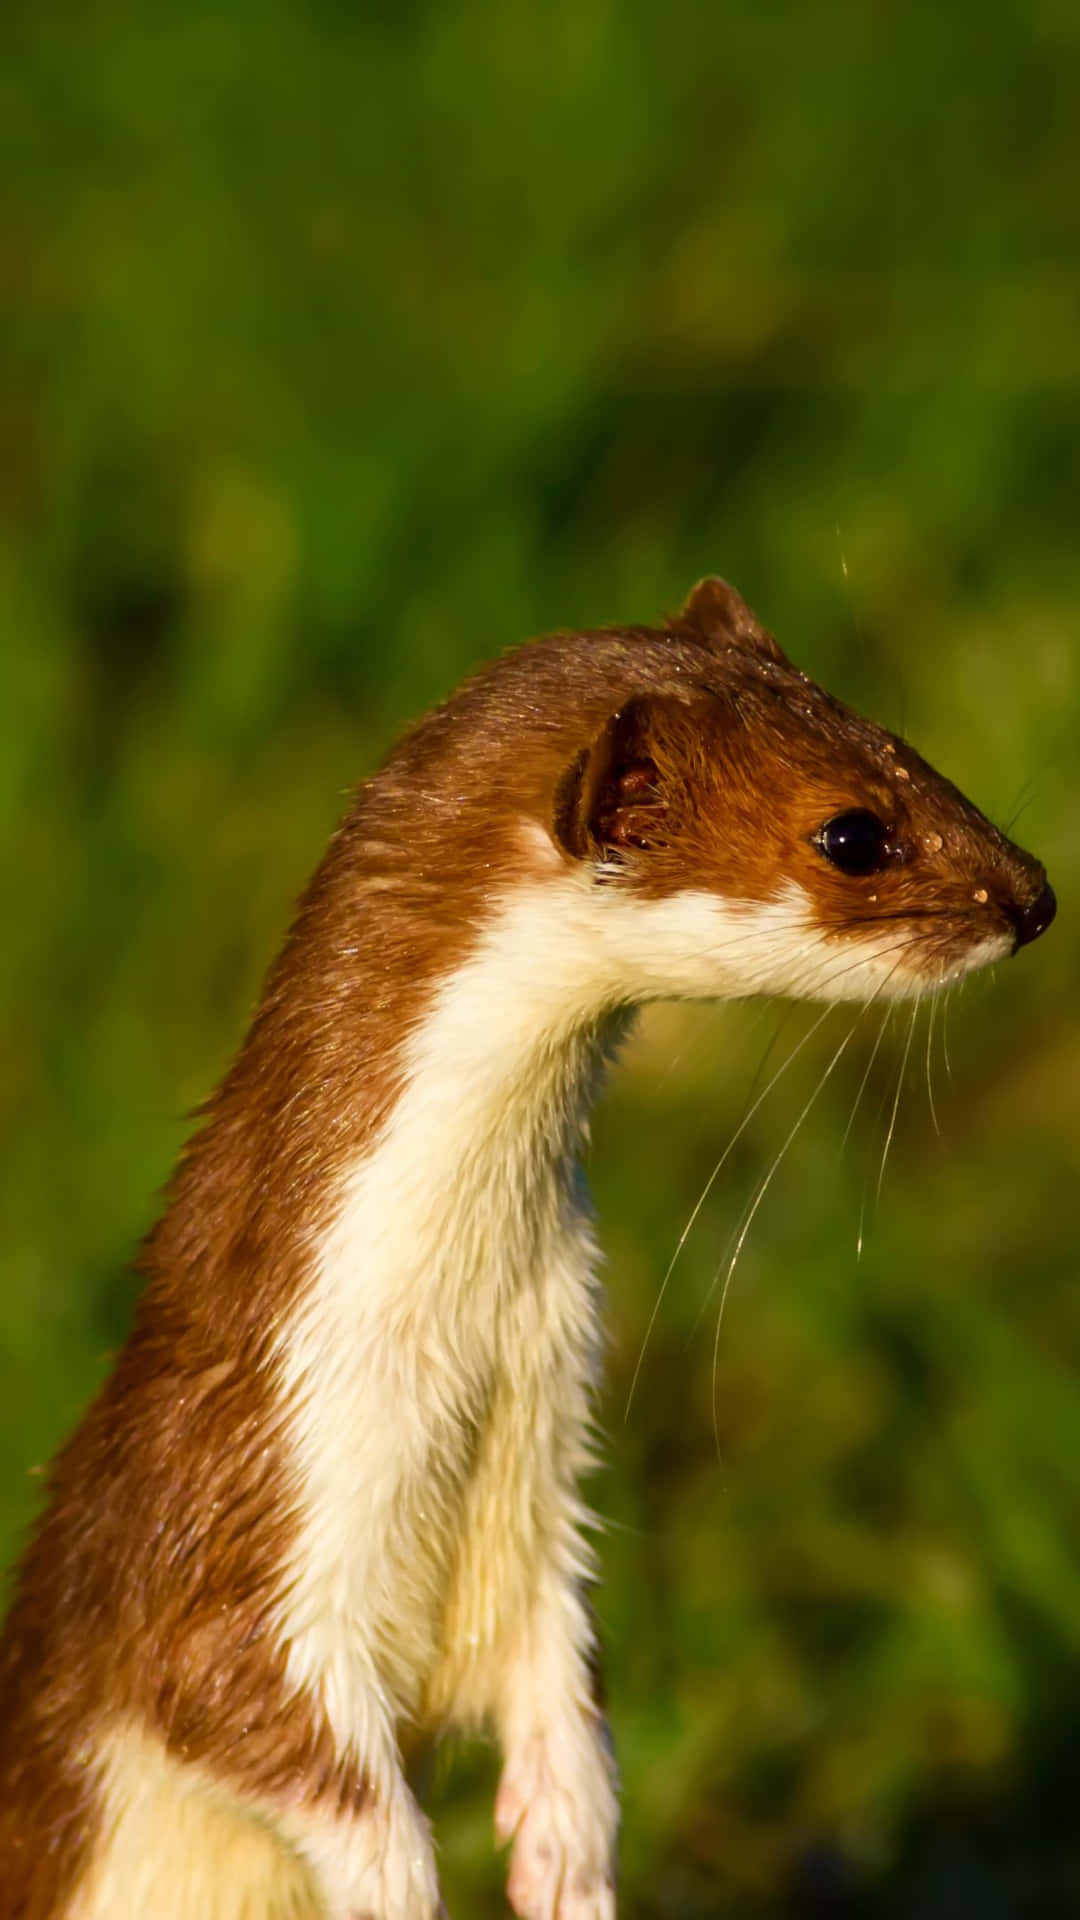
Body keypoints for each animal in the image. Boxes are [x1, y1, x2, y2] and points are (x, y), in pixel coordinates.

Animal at [0, 579, 1053, 1920]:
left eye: (904, 746)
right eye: (854, 833)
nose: (1036, 894)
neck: (463, 1328)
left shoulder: (544, 1447)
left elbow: (562, 1680)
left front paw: (569, 1850)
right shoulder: (245, 1494)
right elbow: (245, 1711)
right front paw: (403, 1881)